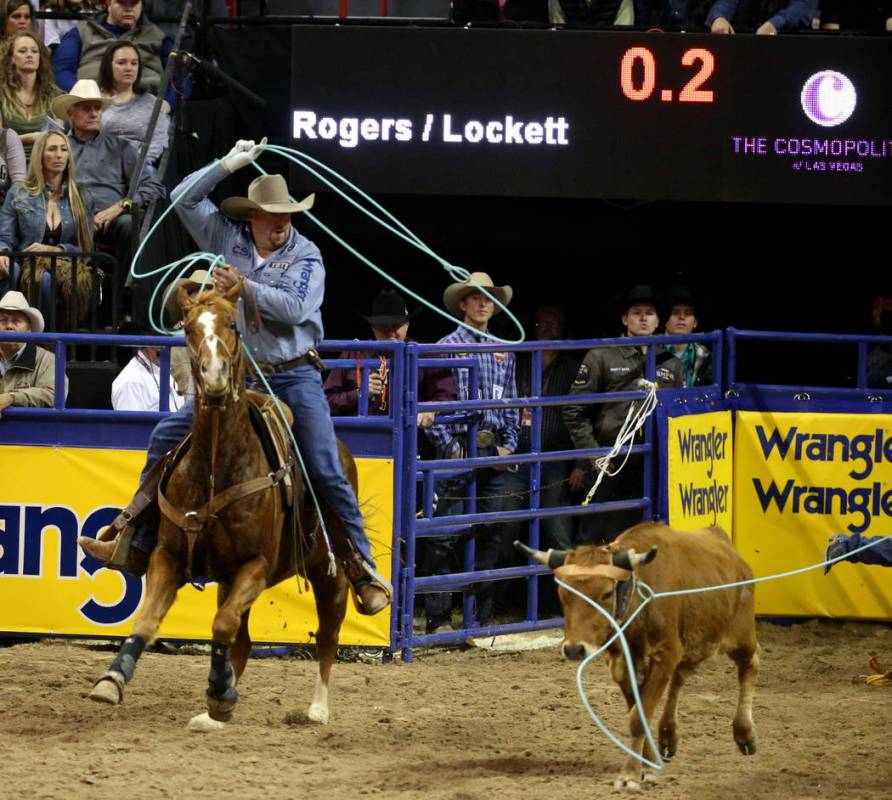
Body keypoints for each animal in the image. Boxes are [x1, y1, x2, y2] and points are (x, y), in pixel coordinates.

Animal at [88, 284, 352, 728]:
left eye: (233, 324)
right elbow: (150, 620)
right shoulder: (168, 556)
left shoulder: (255, 565)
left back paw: (316, 708)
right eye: (189, 328)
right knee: (241, 642)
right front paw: (111, 681)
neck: (214, 467)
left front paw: (220, 693)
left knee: (328, 632)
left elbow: (222, 625)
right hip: (227, 580)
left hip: (328, 574)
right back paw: (217, 705)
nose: (214, 375)